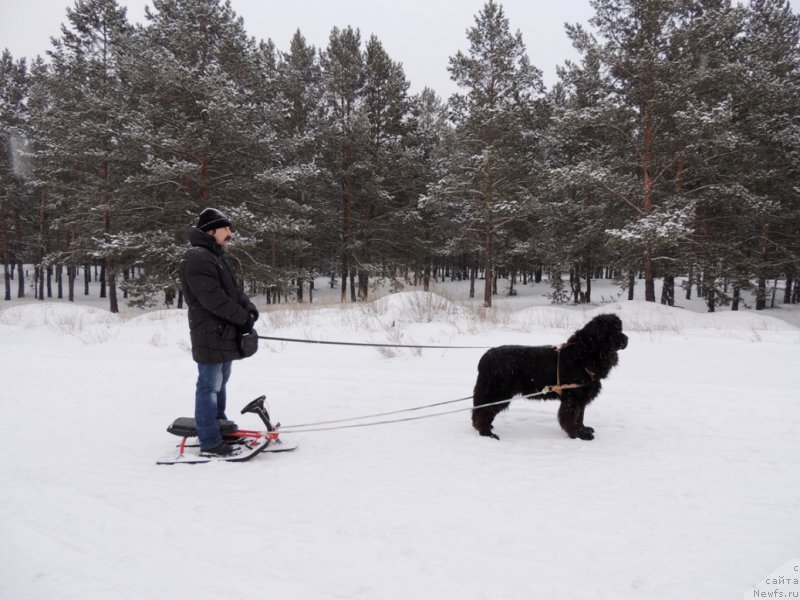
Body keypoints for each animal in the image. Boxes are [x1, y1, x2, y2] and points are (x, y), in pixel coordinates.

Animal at [472, 314, 628, 440]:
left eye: (620, 328)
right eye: (612, 331)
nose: (626, 339)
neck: (585, 352)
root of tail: (485, 357)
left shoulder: (581, 395)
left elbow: (580, 416)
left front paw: (583, 430)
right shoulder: (574, 397)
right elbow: (573, 417)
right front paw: (578, 435)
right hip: (498, 393)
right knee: (483, 412)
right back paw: (487, 434)